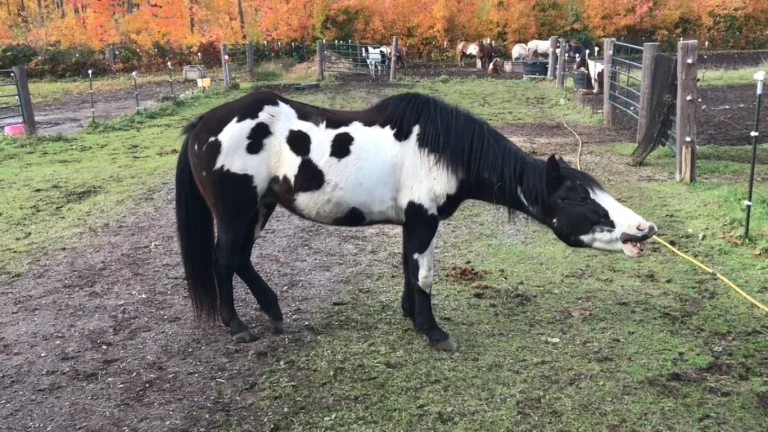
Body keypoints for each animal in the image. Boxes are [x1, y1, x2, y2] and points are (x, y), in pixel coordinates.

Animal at [175, 90, 659, 351]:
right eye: (575, 195)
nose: (644, 230)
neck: (440, 148)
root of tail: (203, 126)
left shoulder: (411, 222)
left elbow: (409, 270)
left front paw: (411, 317)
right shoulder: (424, 219)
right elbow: (423, 273)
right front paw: (433, 331)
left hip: (260, 208)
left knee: (239, 259)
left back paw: (272, 313)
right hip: (237, 211)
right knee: (225, 260)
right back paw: (237, 326)